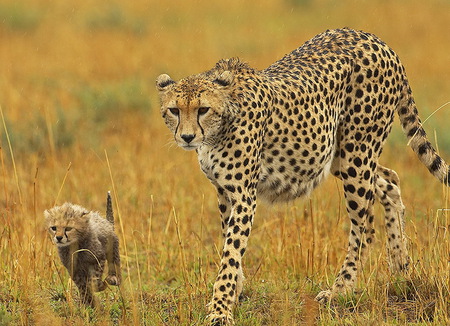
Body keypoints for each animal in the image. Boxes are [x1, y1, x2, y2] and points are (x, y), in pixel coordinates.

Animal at [156, 28, 450, 324]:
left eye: (203, 109)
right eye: (174, 110)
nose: (187, 137)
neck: (220, 125)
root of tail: (374, 39)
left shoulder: (244, 194)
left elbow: (231, 251)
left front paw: (221, 309)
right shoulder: (224, 191)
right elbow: (229, 243)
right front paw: (234, 294)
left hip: (357, 155)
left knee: (364, 223)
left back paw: (341, 289)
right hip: (338, 155)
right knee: (389, 179)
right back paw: (401, 266)